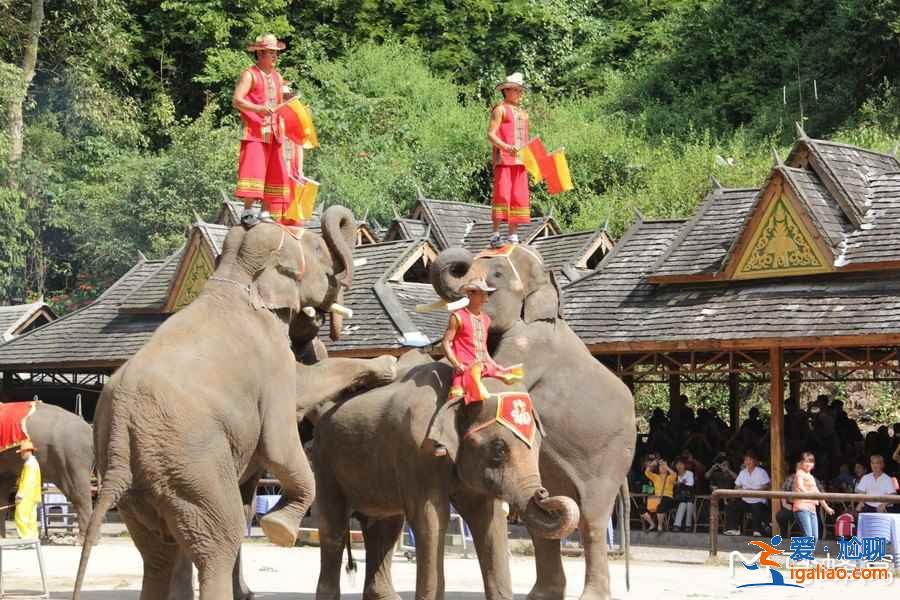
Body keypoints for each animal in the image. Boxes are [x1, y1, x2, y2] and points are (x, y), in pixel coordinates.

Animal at [72, 207, 358, 600]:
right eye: (317, 250)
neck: (235, 271)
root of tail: (120, 429)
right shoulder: (271, 364)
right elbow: (282, 438)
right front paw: (280, 528)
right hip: (194, 465)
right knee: (219, 539)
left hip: (141, 485)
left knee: (158, 553)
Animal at [306, 350, 580, 600]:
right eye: (499, 449)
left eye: (539, 444)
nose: (543, 493)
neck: (455, 389)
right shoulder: (417, 451)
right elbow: (432, 518)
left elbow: (489, 521)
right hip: (324, 461)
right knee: (333, 527)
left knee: (385, 529)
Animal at [426, 244, 636, 600]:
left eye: (497, 274)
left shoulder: (533, 343)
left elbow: (502, 376)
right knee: (544, 515)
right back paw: (541, 594)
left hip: (614, 454)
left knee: (592, 519)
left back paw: (589, 595)